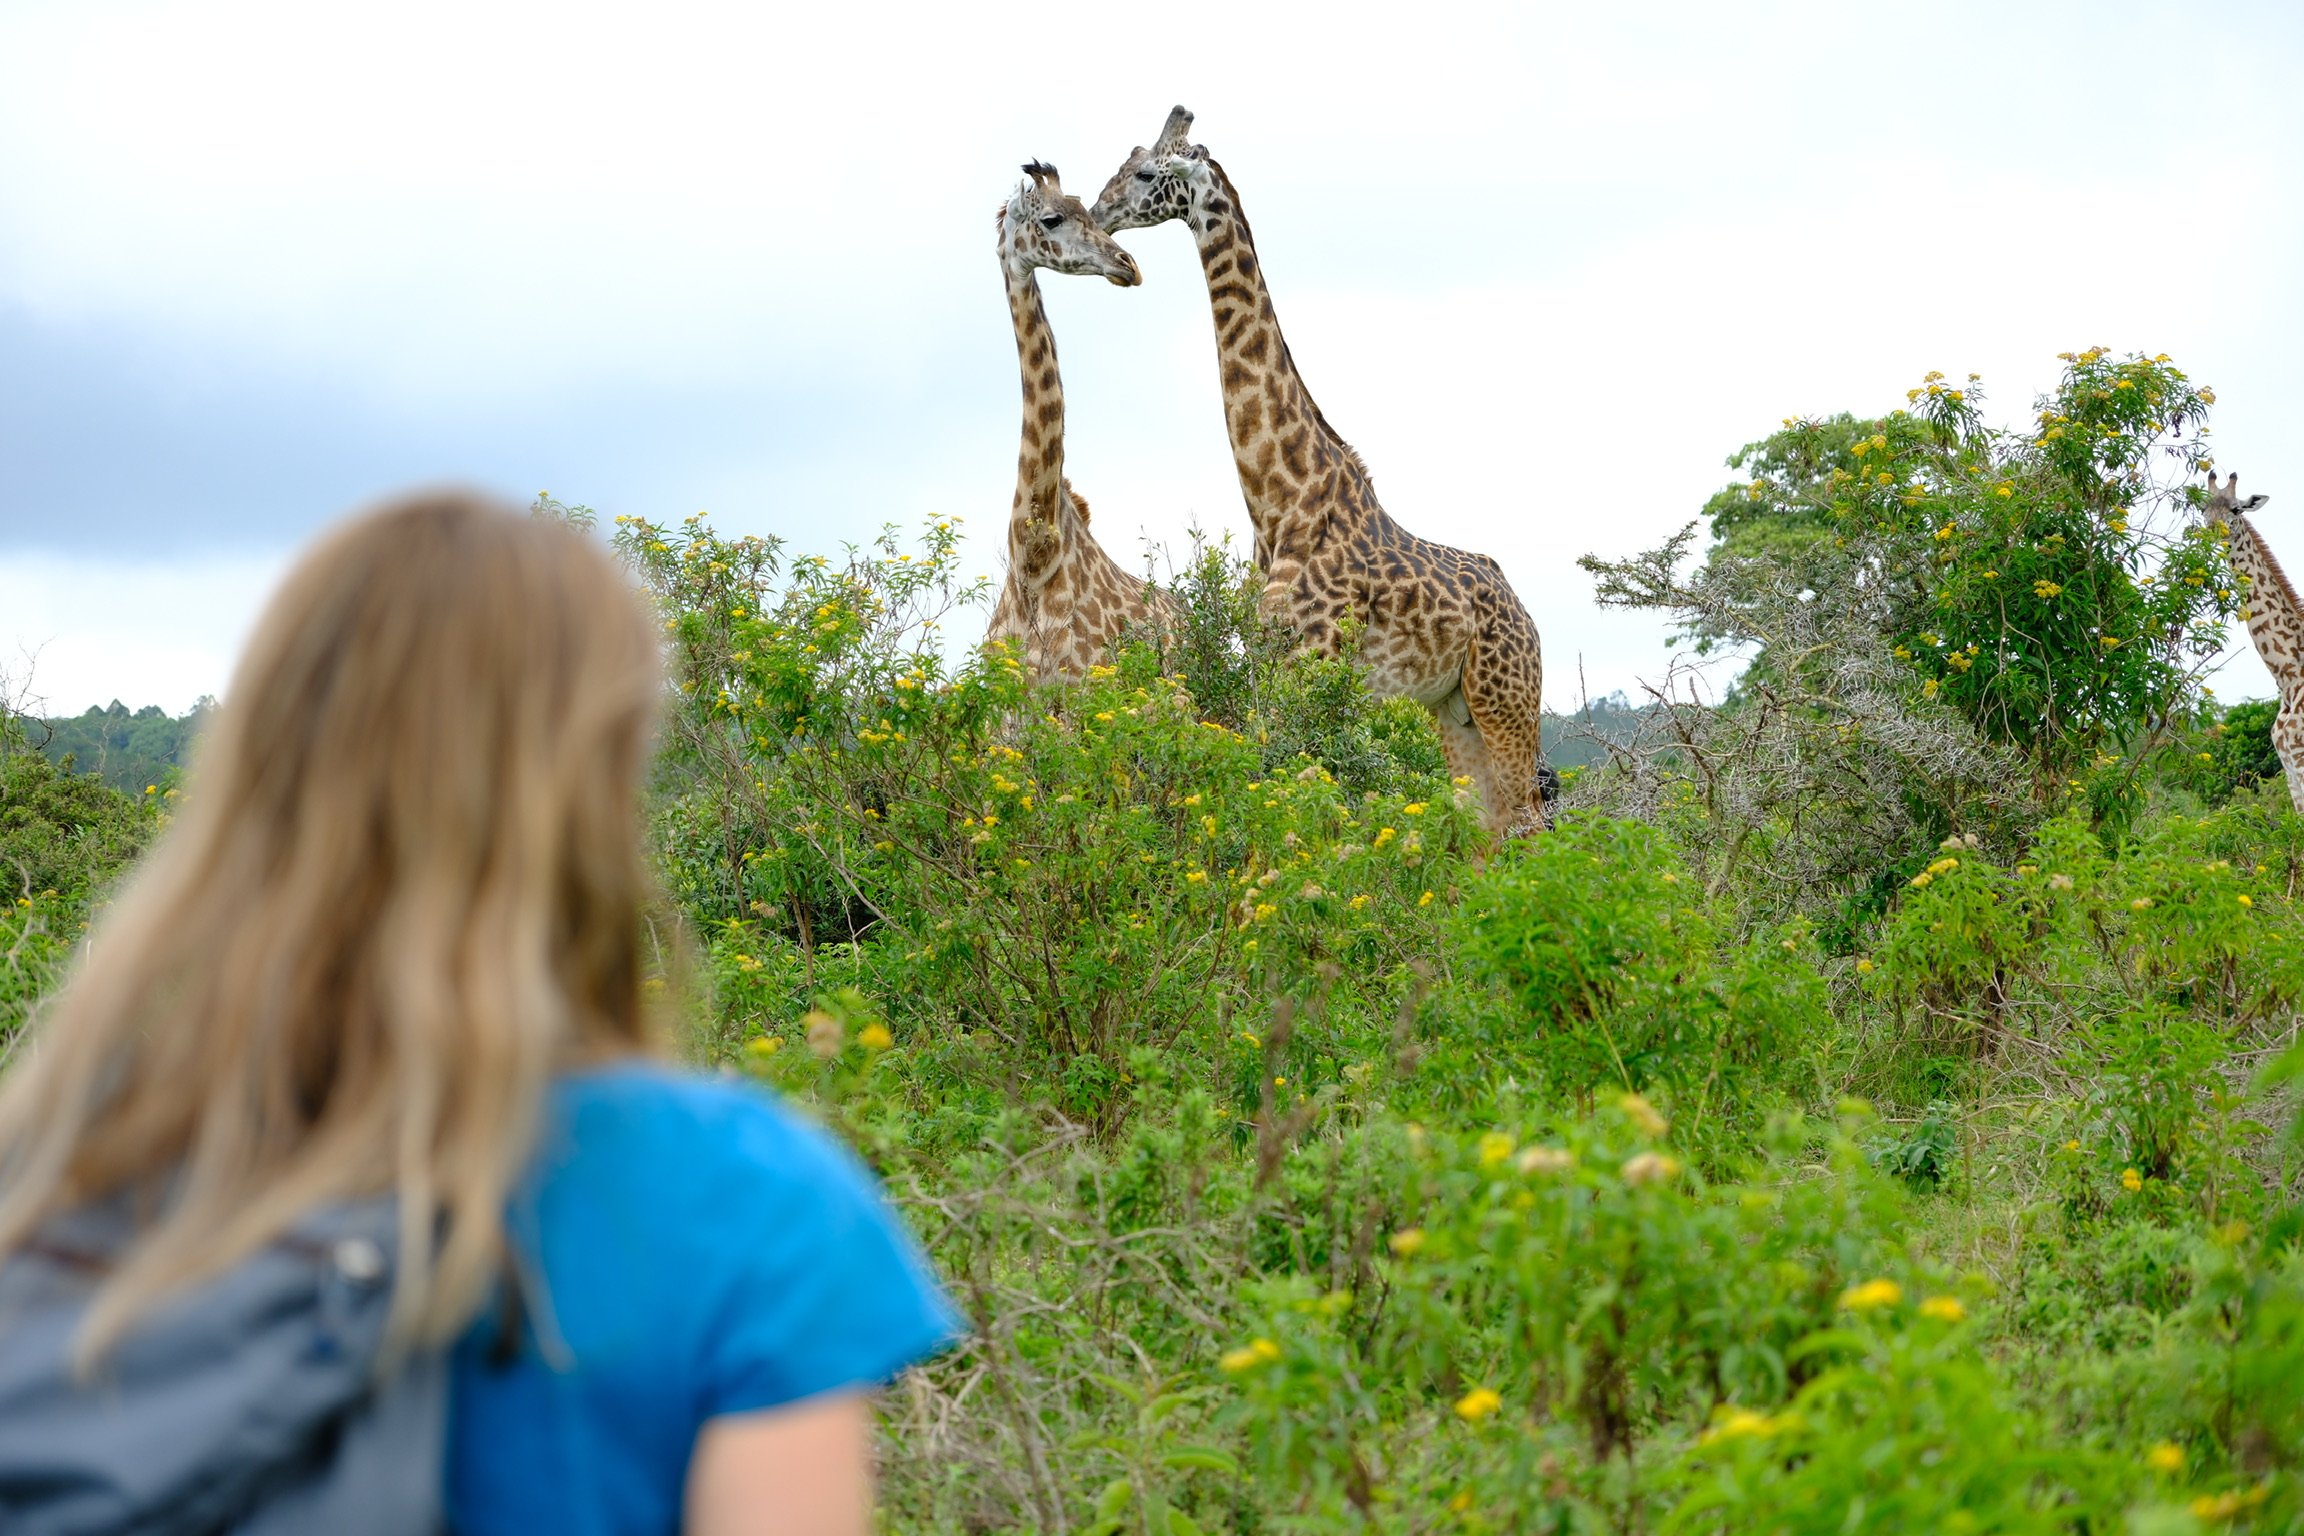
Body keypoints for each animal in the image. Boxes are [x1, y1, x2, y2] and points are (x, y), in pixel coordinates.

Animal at [1089, 107, 1549, 836]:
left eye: (1145, 173)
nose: (1098, 211)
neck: (1278, 496)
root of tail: (1530, 620)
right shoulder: (1272, 664)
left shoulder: (1315, 660)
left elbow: (1304, 800)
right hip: (1453, 708)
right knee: (1486, 829)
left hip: (1506, 700)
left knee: (1526, 824)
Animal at [2202, 471, 2304, 813]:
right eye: (2203, 508)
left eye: (2236, 509)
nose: (2210, 534)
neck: (2287, 674)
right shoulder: (2291, 773)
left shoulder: (2301, 761)